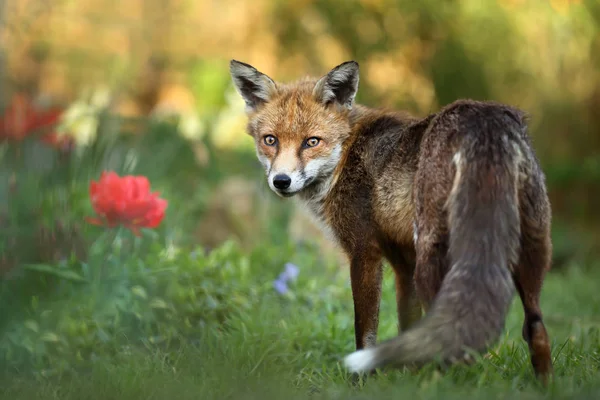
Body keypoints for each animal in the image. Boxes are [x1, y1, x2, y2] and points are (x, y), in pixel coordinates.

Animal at [229, 60, 552, 384]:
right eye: (270, 140)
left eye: (312, 142)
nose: (281, 181)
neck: (345, 157)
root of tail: (484, 120)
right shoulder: (403, 262)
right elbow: (409, 326)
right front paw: (405, 379)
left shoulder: (365, 253)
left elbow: (365, 331)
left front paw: (360, 382)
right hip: (531, 252)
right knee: (536, 330)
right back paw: (543, 386)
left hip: (434, 261)